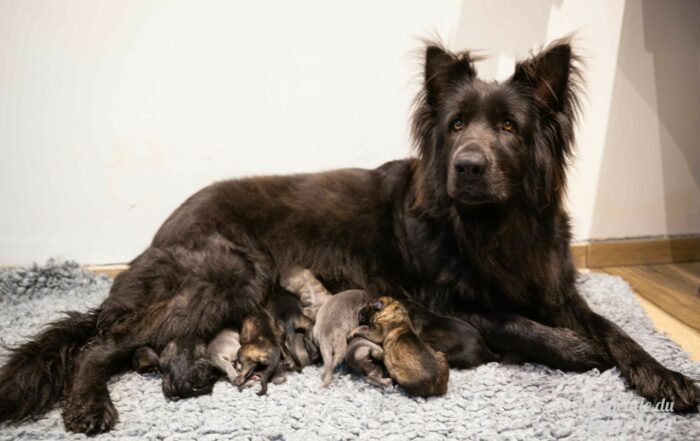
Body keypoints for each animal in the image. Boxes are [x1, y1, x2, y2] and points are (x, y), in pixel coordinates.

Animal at [2, 38, 697, 434]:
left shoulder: (557, 289)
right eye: (456, 125)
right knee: (102, 344)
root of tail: (159, 232)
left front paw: (666, 377)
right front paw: (573, 350)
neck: (493, 227)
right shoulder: (444, 302)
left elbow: (617, 330)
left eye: (507, 126)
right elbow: (514, 322)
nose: (467, 165)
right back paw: (89, 405)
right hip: (230, 273)